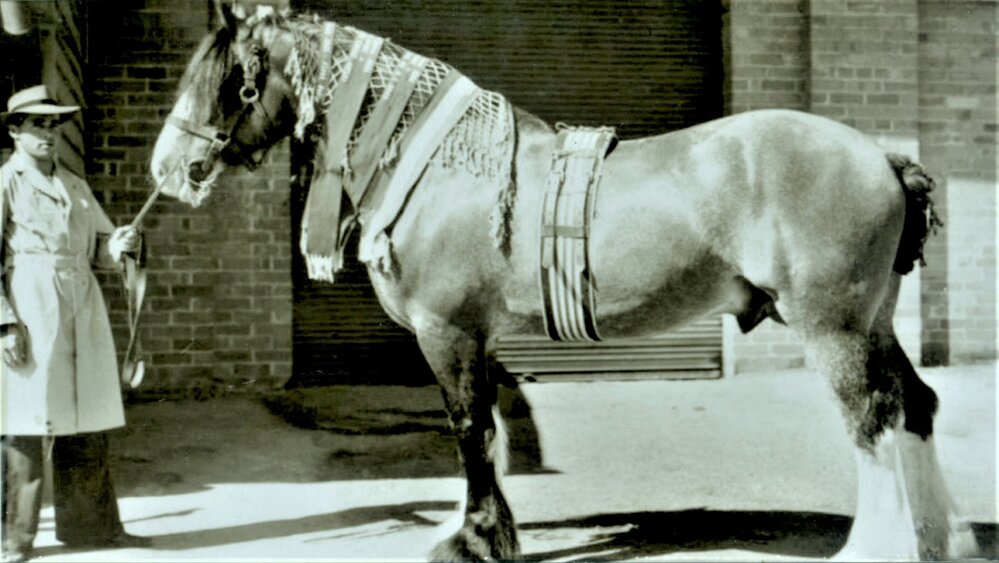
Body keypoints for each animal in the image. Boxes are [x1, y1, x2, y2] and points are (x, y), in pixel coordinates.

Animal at [149, 4, 980, 560]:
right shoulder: (479, 337)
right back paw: (941, 537)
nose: (170, 169)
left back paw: (875, 545)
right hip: (872, 319)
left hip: (833, 326)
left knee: (871, 417)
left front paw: (473, 539)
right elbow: (489, 432)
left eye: (229, 80)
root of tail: (879, 155)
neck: (437, 161)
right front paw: (487, 530)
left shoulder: (446, 333)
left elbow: (469, 429)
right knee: (914, 405)